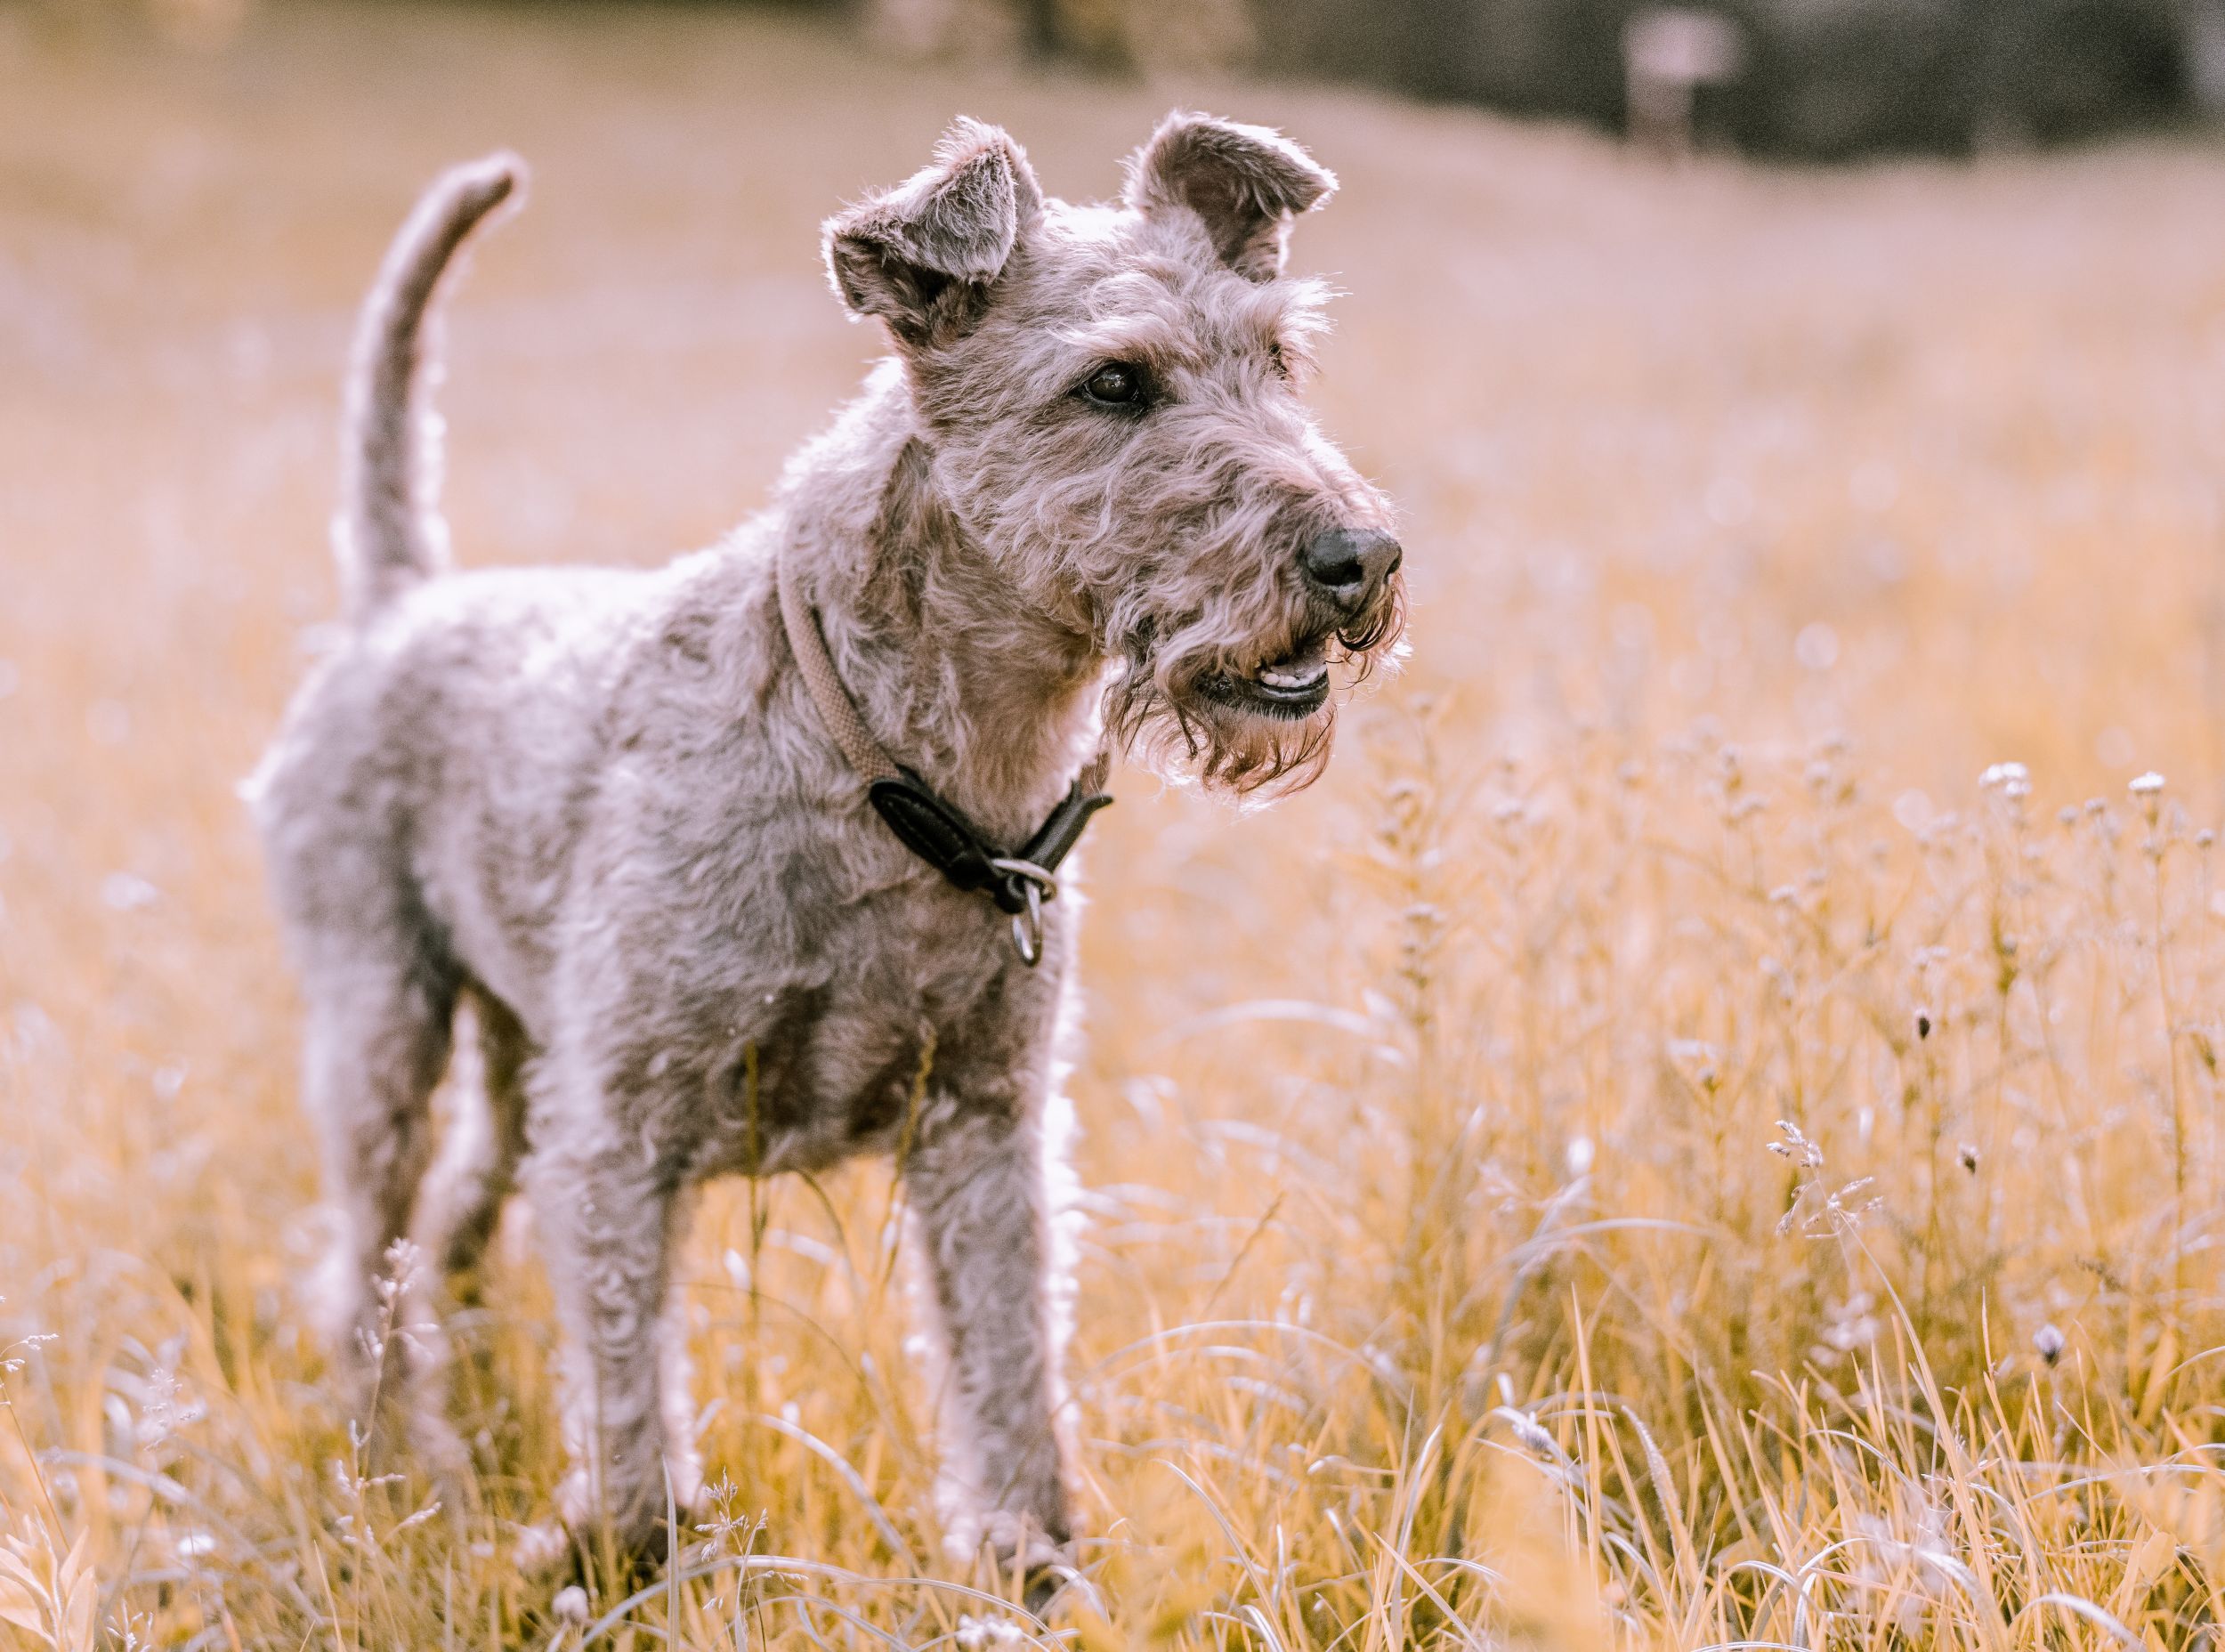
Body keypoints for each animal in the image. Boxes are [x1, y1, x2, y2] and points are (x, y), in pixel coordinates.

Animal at [247, 112, 1406, 1602]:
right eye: (1114, 383)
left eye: (1280, 359)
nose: (1363, 556)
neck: (893, 762)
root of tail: (401, 602)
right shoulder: (620, 1131)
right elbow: (633, 1400)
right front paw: (618, 1563)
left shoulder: (988, 1128)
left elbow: (1010, 1375)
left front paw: (1030, 1577)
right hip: (383, 1028)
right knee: (361, 1266)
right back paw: (398, 1461)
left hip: (513, 1069)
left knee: (446, 1231)